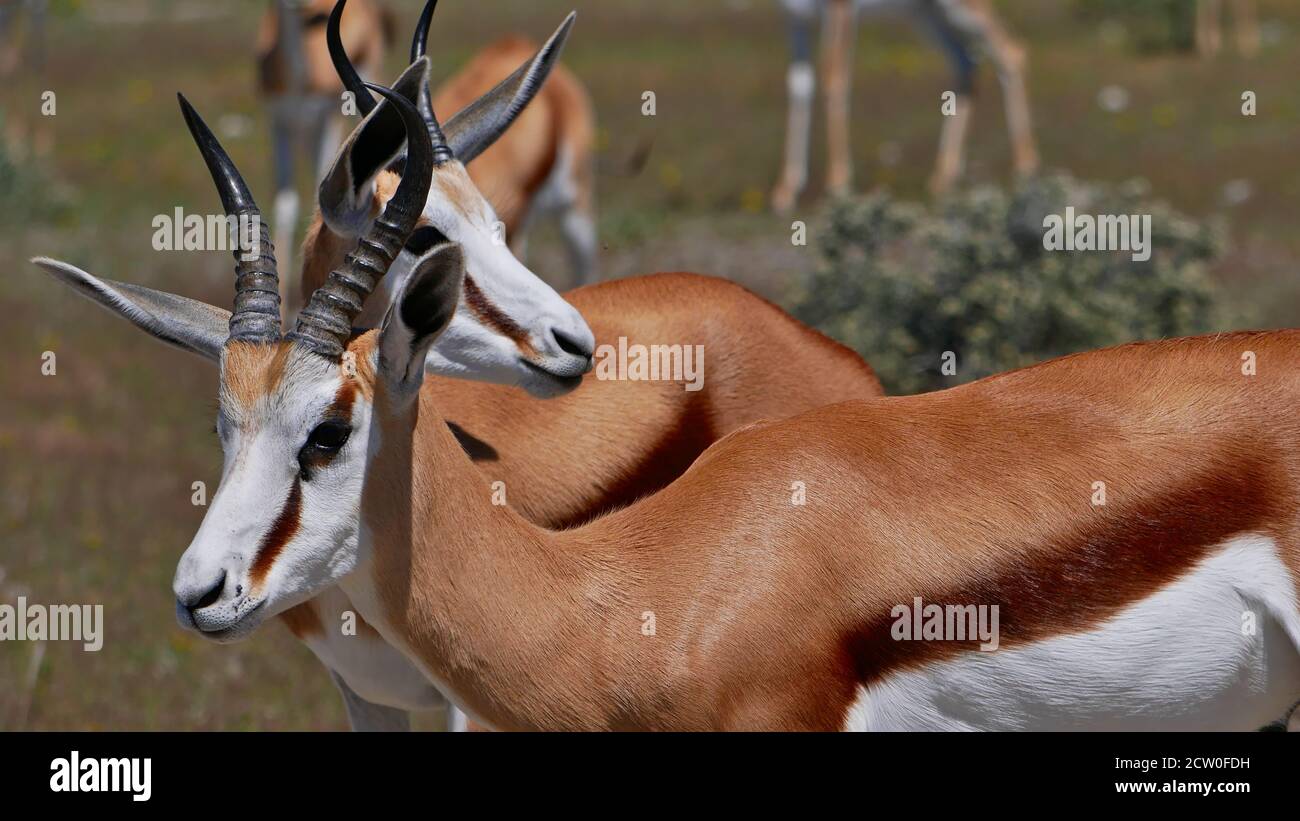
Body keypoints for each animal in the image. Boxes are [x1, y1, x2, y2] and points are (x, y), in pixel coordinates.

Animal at [769, 0, 1034, 211]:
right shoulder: (795, 18)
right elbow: (799, 87)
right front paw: (786, 190)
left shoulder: (840, 9)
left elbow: (834, 81)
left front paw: (838, 183)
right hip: (926, 14)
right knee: (966, 64)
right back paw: (942, 178)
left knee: (1012, 52)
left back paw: (1025, 167)